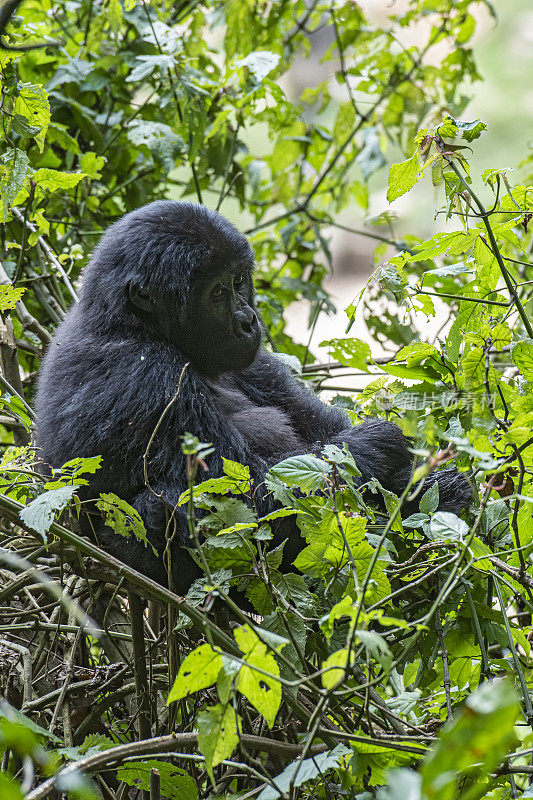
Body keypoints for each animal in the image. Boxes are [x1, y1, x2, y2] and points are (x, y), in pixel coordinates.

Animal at [34, 203, 470, 596]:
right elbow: (253, 502)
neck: (125, 321)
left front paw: (438, 486)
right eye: (215, 293)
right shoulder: (147, 376)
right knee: (168, 506)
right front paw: (379, 444)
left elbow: (316, 425)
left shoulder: (254, 362)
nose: (248, 321)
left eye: (240, 280)